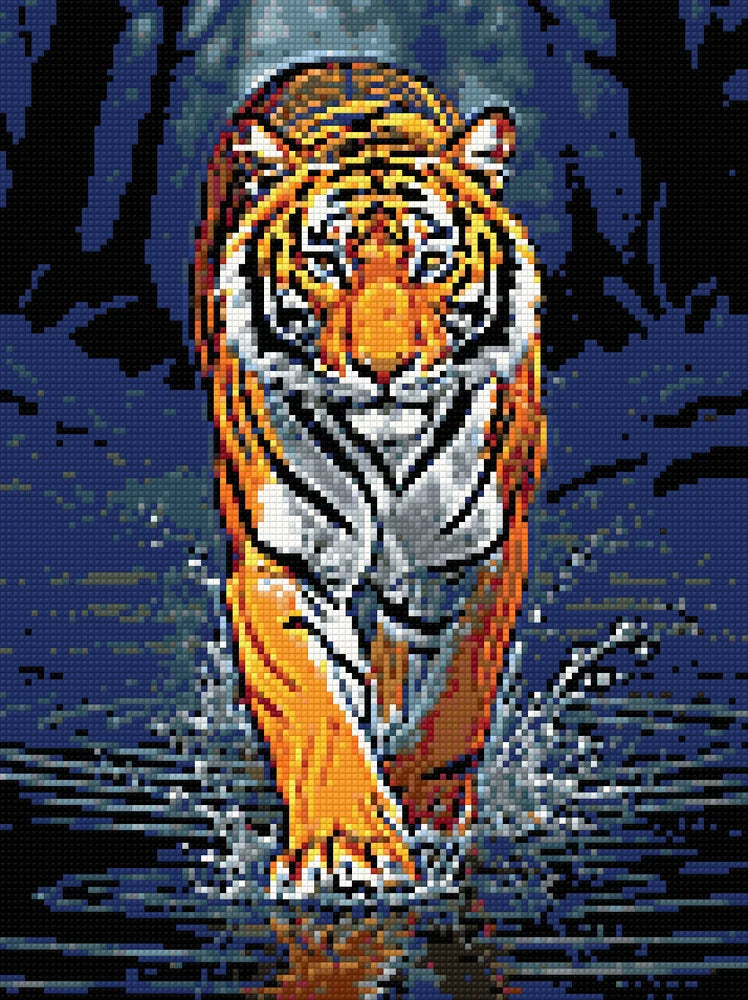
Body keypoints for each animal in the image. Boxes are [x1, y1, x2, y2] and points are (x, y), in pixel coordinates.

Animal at [193, 60, 545, 895]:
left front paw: (428, 811)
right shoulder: (277, 562)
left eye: (431, 261)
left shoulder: (480, 553)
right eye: (328, 264)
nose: (384, 369)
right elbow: (311, 703)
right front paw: (347, 846)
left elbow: (456, 691)